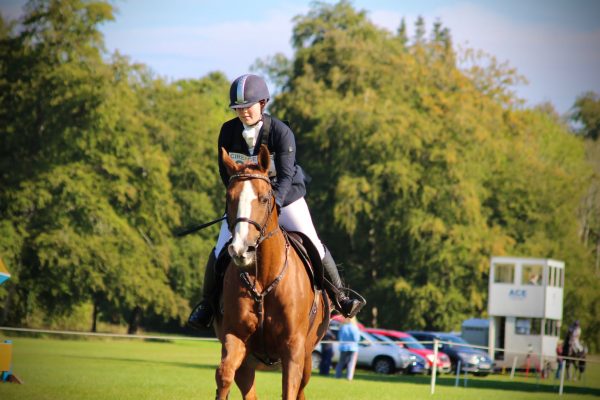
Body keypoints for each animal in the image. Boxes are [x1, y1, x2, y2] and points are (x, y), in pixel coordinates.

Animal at [213, 145, 330, 400]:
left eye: (265, 198)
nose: (241, 250)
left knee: (301, 390)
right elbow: (224, 375)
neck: (263, 278)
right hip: (248, 364)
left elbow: (289, 390)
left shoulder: (293, 350)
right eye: (229, 198)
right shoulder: (236, 337)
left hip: (307, 357)